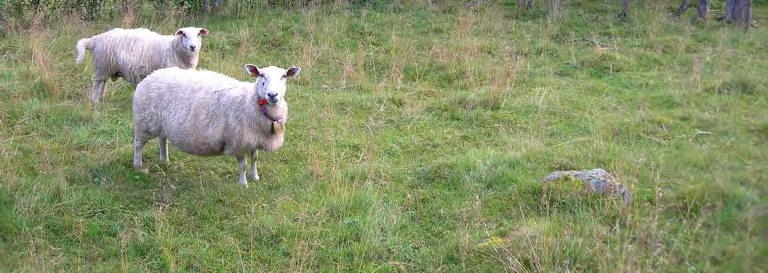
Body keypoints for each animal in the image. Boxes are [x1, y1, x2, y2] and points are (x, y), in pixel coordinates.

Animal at [74, 26, 208, 104]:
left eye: (198, 34)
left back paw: (100, 99)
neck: (173, 48)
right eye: (184, 34)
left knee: (102, 82)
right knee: (96, 82)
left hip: (105, 67)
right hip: (102, 65)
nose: (193, 47)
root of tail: (95, 39)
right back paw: (95, 101)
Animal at [132, 64, 300, 187]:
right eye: (261, 75)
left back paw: (164, 160)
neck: (251, 101)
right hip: (145, 122)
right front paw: (243, 184)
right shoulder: (238, 141)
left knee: (162, 140)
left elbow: (254, 158)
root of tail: (150, 76)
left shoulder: (253, 139)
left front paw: (255, 177)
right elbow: (243, 165)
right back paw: (138, 165)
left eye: (284, 76)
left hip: (162, 124)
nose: (272, 95)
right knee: (138, 144)